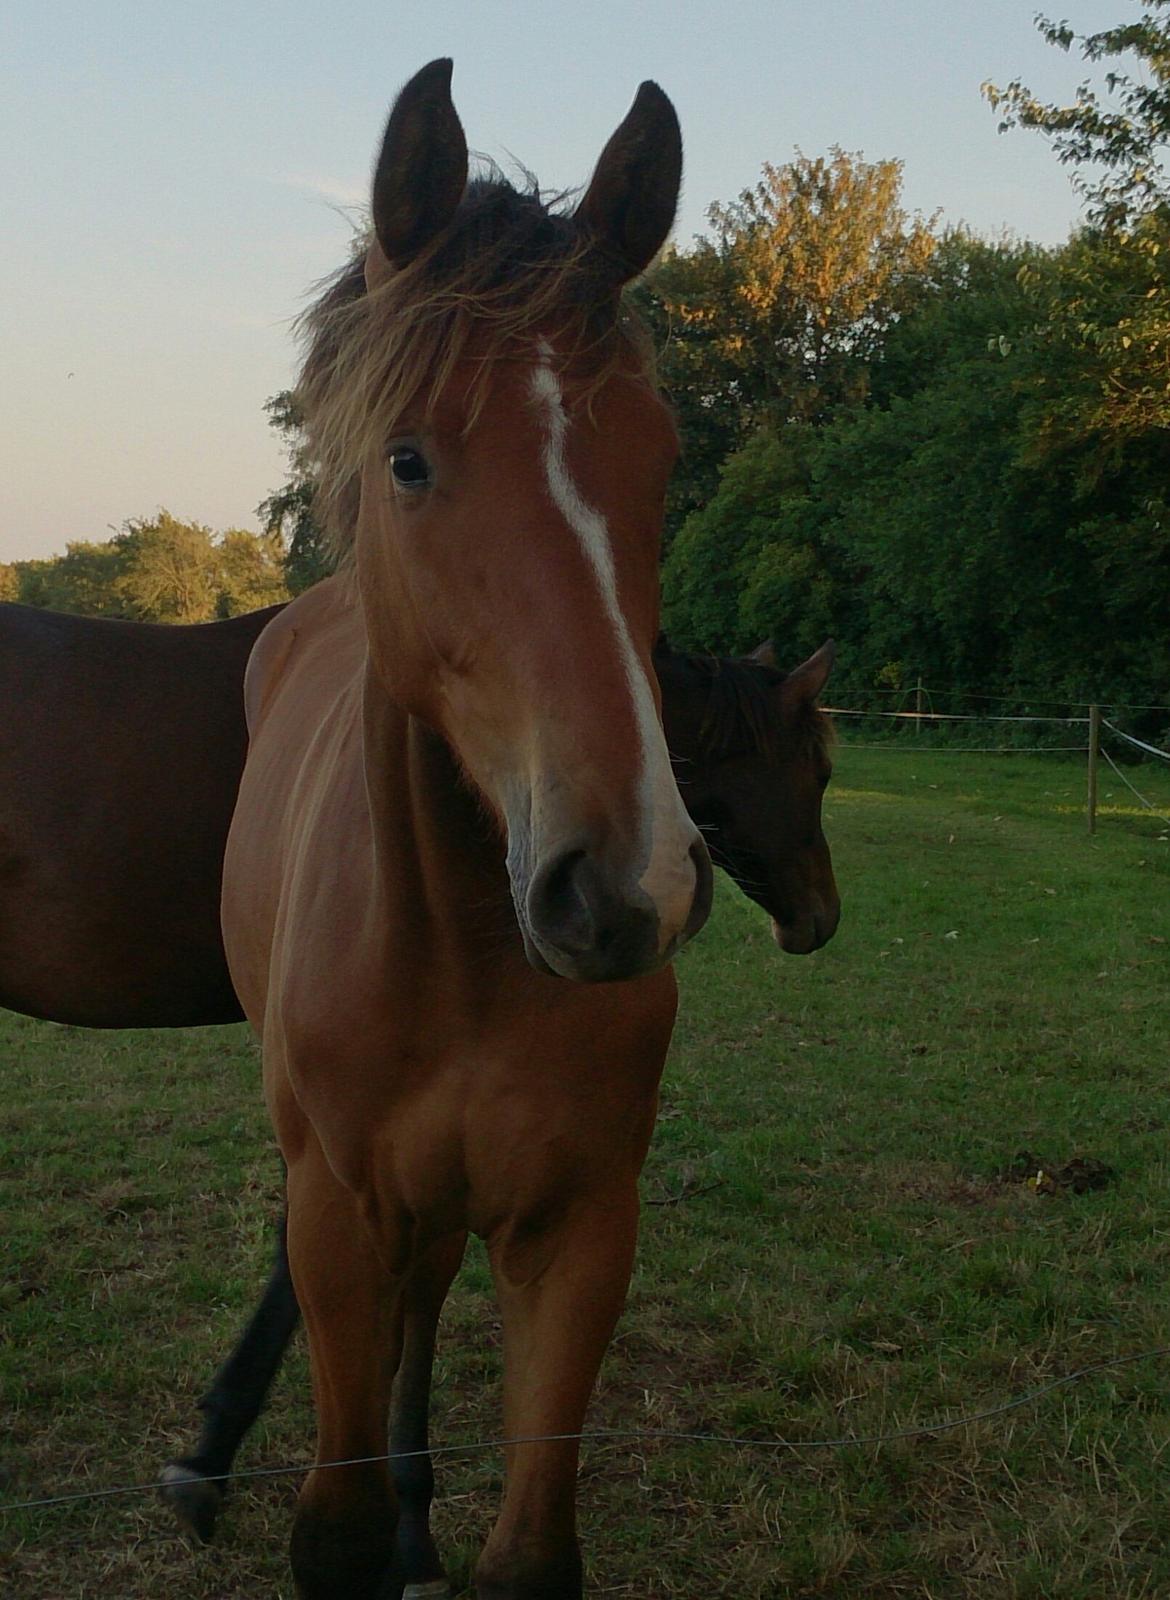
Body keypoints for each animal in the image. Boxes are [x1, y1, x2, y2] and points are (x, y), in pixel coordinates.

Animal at [219, 56, 723, 1593]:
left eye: (661, 458)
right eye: (408, 461)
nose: (625, 886)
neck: (462, 957)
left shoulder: (581, 1226)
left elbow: (530, 1552)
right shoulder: (336, 1213)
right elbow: (325, 1525)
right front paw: (369, 1522)